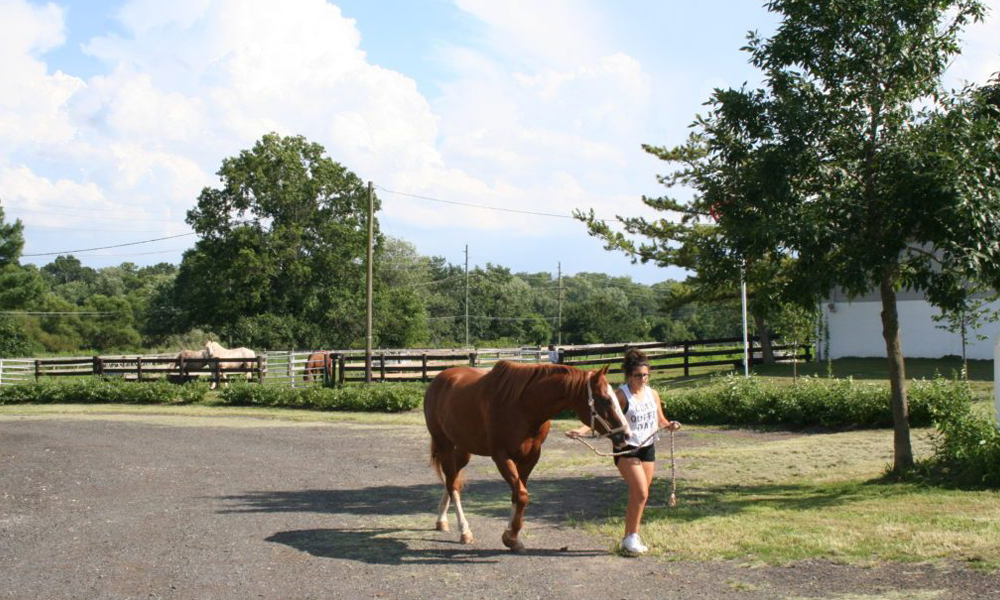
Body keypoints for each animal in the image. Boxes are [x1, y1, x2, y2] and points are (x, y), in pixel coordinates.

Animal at [423, 361, 629, 552]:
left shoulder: (531, 456)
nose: (626, 435)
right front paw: (511, 536)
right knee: (452, 483)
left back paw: (442, 520)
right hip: (444, 445)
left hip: (464, 449)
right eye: (606, 400)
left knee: (452, 480)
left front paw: (512, 536)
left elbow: (517, 495)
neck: (523, 406)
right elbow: (522, 495)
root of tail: (439, 380)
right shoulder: (501, 456)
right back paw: (464, 530)